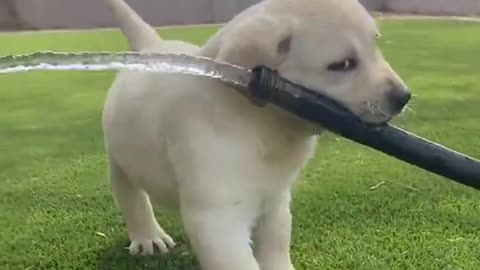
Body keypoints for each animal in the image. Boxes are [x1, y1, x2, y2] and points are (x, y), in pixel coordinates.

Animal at [101, 0, 408, 270]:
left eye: (375, 43)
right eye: (342, 64)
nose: (403, 97)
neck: (257, 124)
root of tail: (152, 46)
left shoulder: (275, 201)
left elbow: (276, 249)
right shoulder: (218, 218)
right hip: (119, 157)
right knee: (130, 196)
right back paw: (148, 237)